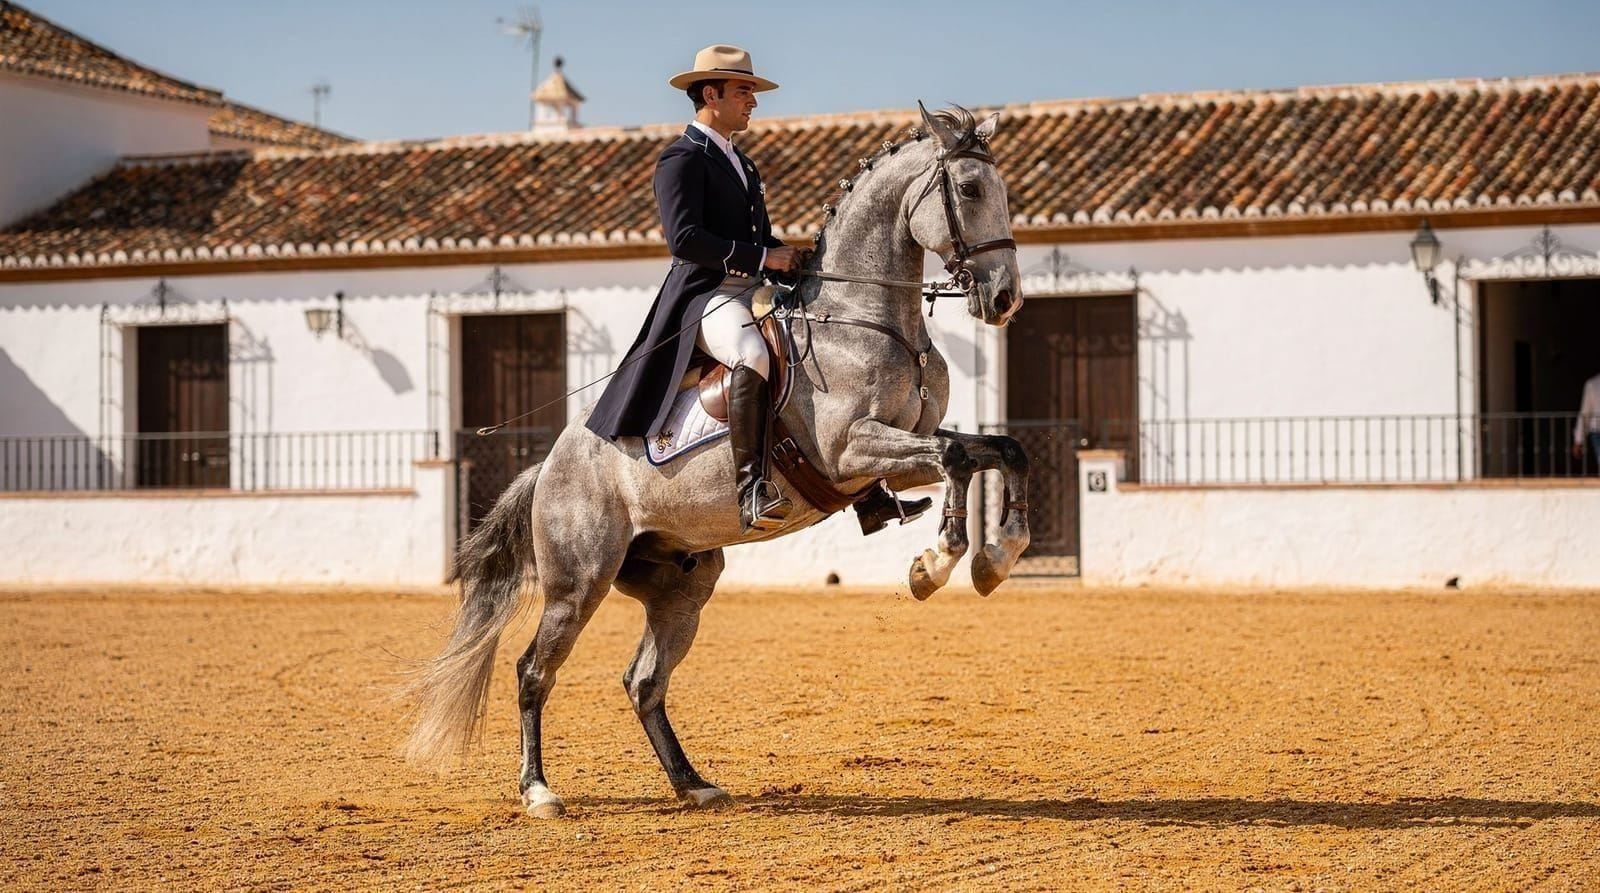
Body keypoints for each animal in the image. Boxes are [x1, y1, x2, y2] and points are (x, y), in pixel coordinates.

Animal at [403, 104, 1031, 818]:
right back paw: (539, 791)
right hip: (578, 583)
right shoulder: (850, 449)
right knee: (535, 671)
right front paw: (938, 563)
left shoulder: (899, 454)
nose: (1005, 299)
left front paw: (995, 557)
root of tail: (552, 467)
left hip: (683, 584)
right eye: (971, 190)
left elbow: (998, 451)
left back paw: (692, 782)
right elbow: (957, 456)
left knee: (643, 681)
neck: (869, 321)